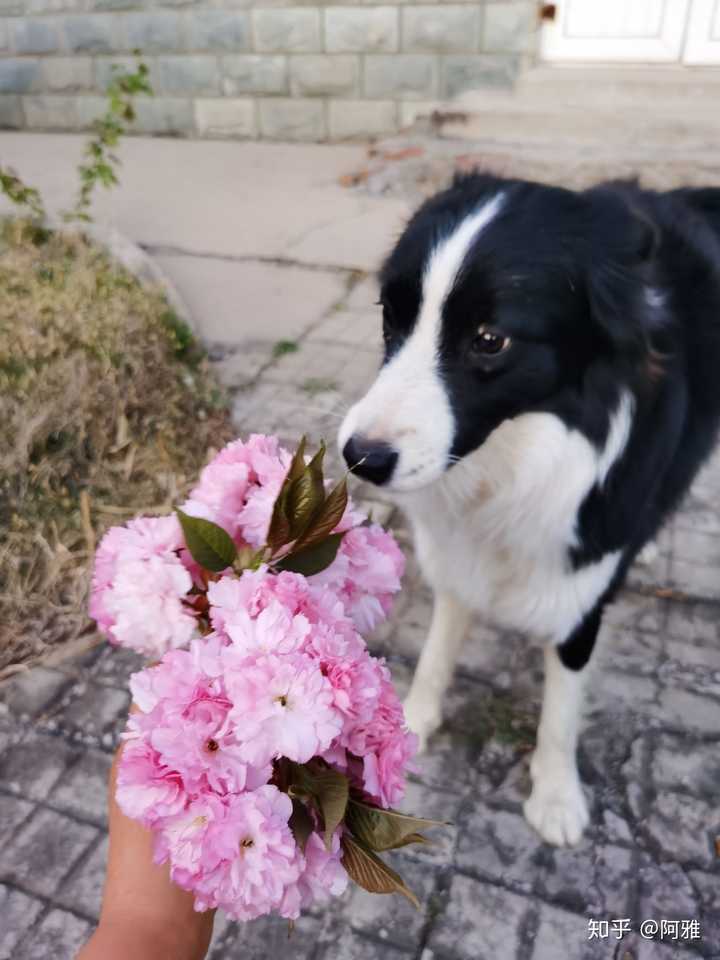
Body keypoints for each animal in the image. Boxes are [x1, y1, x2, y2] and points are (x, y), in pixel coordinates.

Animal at [338, 174, 720, 848]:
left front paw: (557, 795)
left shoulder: (581, 588)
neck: (514, 457)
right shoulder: (456, 558)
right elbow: (438, 647)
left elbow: (561, 709)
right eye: (392, 315)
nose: (360, 457)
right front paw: (413, 720)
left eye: (490, 340)